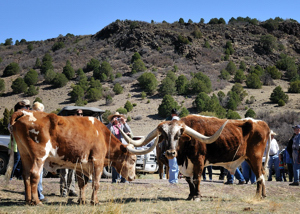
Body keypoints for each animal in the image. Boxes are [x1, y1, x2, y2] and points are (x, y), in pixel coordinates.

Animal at [5, 111, 159, 205]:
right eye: (133, 160)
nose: (133, 177)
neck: (101, 135)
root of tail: (26, 113)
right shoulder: (97, 161)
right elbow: (96, 183)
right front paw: (94, 201)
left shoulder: (80, 165)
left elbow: (82, 184)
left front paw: (82, 200)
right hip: (39, 156)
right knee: (34, 175)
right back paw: (37, 201)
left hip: (25, 155)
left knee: (25, 175)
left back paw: (28, 200)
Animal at [120, 115, 272, 201]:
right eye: (164, 135)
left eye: (178, 135)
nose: (170, 153)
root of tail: (262, 124)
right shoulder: (185, 165)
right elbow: (189, 180)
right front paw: (190, 195)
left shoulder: (199, 161)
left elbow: (197, 178)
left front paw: (197, 196)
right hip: (250, 159)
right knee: (262, 174)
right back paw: (264, 195)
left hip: (255, 157)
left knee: (259, 176)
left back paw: (258, 196)